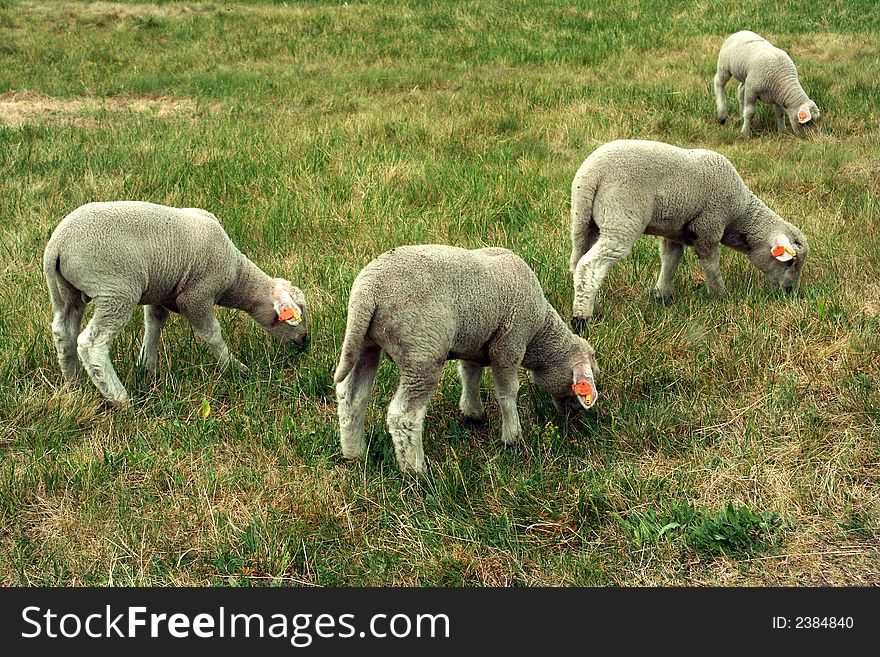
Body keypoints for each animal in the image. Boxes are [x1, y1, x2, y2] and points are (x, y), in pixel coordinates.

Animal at [42, 201, 310, 404]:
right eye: (298, 314)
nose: (305, 342)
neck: (237, 276)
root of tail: (58, 245)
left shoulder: (161, 293)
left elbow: (154, 325)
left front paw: (147, 367)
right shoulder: (196, 296)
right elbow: (212, 334)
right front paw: (235, 369)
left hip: (66, 292)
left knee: (63, 332)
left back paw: (74, 385)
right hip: (115, 289)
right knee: (92, 343)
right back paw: (120, 399)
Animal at [334, 243, 600, 474]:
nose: (576, 414)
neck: (539, 331)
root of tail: (368, 290)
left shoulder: (474, 343)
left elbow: (470, 375)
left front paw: (473, 413)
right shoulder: (509, 344)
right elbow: (507, 392)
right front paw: (512, 437)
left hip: (364, 344)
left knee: (351, 397)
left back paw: (354, 453)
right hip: (422, 352)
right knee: (404, 416)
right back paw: (416, 471)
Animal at [572, 139, 812, 326]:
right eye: (790, 262)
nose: (790, 292)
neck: (740, 215)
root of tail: (592, 174)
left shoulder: (673, 232)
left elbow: (670, 260)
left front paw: (662, 295)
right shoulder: (709, 228)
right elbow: (711, 264)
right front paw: (719, 295)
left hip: (584, 221)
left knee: (579, 262)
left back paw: (589, 301)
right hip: (621, 217)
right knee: (590, 264)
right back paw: (581, 319)